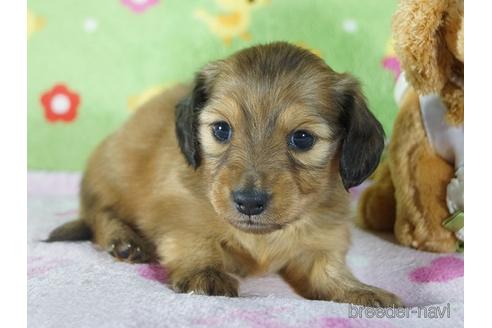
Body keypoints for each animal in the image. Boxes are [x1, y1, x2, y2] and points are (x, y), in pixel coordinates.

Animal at [48, 42, 400, 306]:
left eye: (302, 138)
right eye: (221, 129)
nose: (249, 202)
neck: (263, 237)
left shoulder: (322, 242)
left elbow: (328, 271)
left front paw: (359, 291)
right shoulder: (179, 212)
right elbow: (195, 241)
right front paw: (204, 272)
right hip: (109, 176)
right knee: (99, 215)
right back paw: (124, 240)